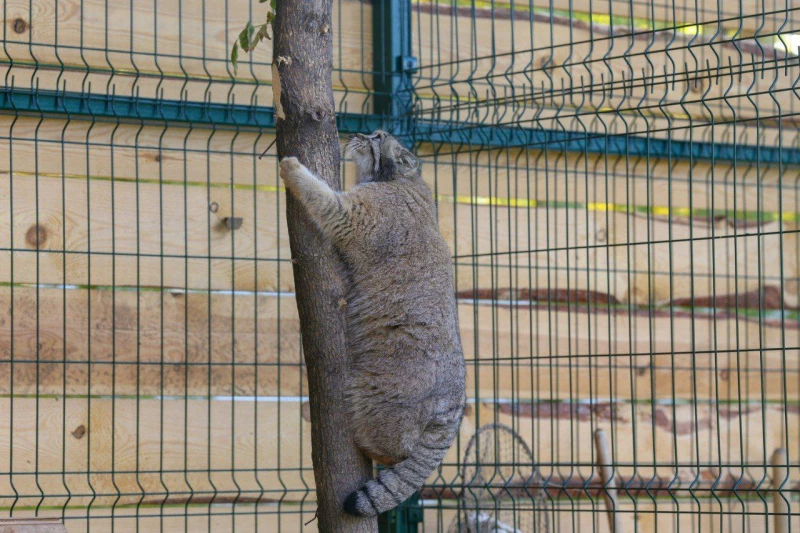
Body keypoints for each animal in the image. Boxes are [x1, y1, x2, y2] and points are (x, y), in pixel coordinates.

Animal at [282, 131, 468, 516]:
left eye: (377, 138)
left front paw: (293, 169)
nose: (359, 134)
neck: (400, 180)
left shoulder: (356, 214)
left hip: (377, 399)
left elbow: (323, 196)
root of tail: (453, 407)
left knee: (397, 446)